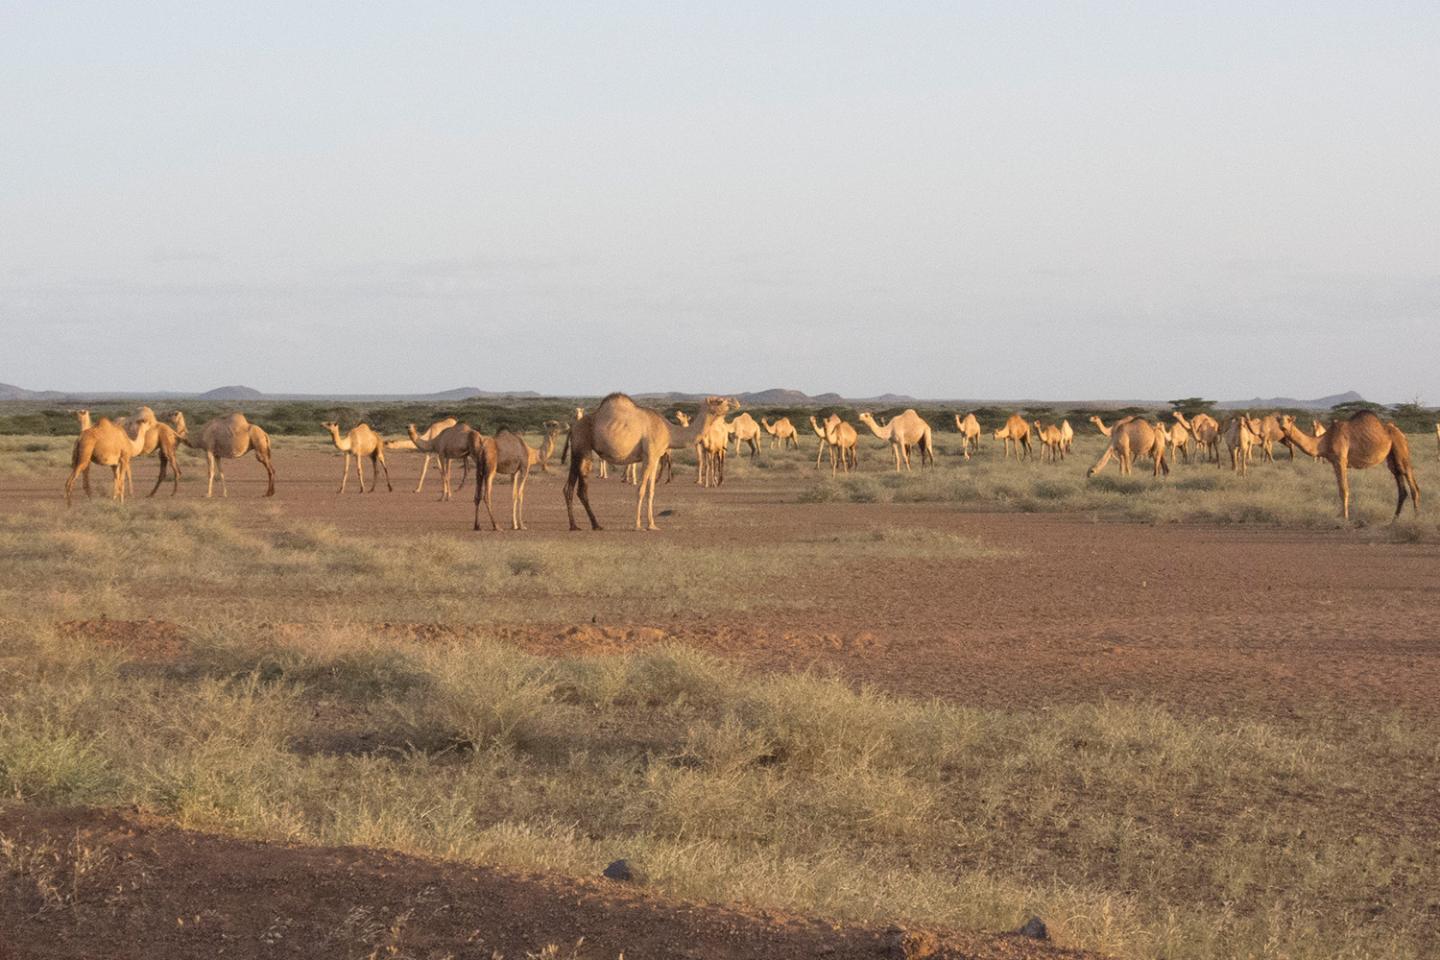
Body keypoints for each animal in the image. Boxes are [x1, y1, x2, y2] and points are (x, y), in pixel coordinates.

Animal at [565, 394, 732, 531]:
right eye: (719, 401)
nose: (734, 403)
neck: (670, 432)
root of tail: (573, 426)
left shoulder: (656, 457)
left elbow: (651, 491)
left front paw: (652, 525)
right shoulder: (649, 455)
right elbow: (640, 489)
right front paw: (638, 525)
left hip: (577, 451)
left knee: (569, 487)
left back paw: (576, 525)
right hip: (582, 446)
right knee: (581, 489)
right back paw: (594, 525)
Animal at [1280, 413, 1419, 520]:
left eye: (1288, 420)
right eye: (1278, 419)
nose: (1282, 426)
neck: (1324, 441)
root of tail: (1402, 434)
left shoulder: (1341, 460)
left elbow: (1344, 489)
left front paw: (1345, 518)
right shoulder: (1334, 462)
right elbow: (1340, 489)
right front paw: (1341, 515)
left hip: (1400, 449)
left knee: (1413, 485)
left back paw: (1416, 518)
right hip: (1392, 458)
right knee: (1401, 487)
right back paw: (1393, 521)